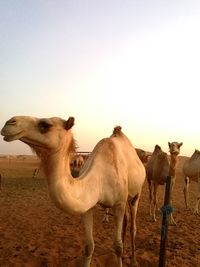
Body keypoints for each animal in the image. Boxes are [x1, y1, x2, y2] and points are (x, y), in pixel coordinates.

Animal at [0, 116, 145, 267]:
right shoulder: (88, 206)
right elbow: (88, 247)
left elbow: (118, 247)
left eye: (45, 124)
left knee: (133, 226)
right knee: (126, 222)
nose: (9, 123)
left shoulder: (119, 203)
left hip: (136, 194)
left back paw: (134, 260)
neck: (100, 178)